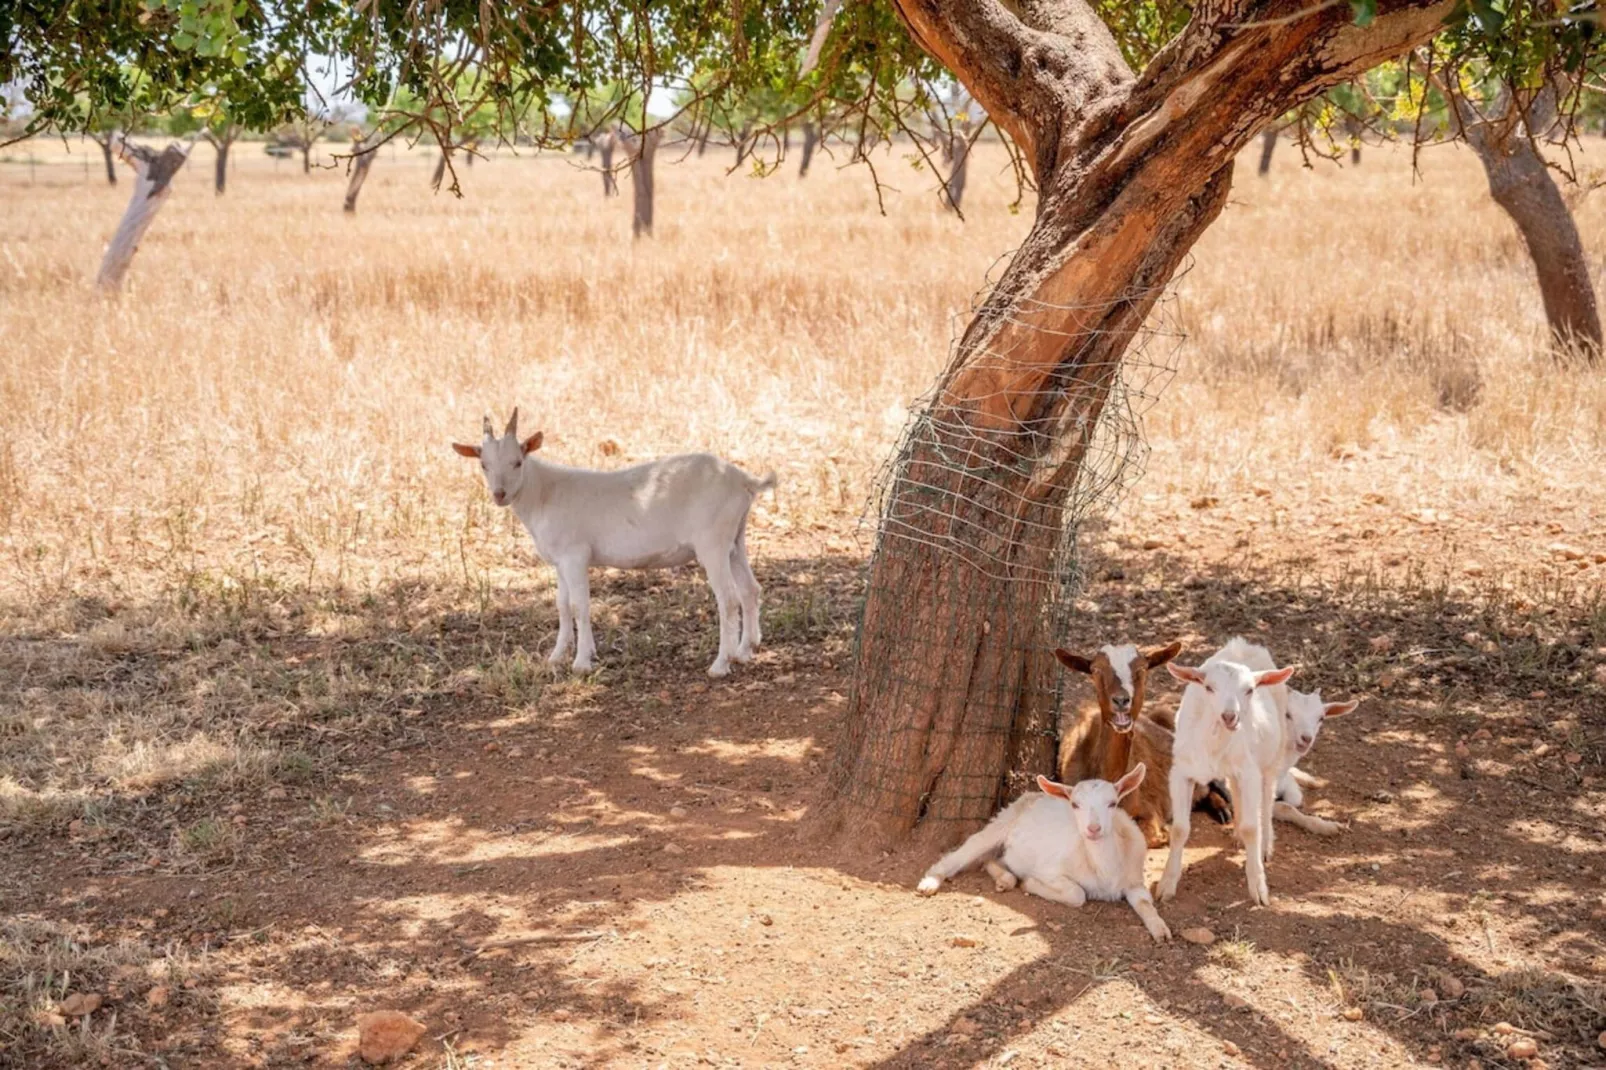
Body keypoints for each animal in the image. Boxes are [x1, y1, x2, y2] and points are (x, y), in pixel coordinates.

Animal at [452, 408, 777, 674]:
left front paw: (582, 662)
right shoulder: (559, 562)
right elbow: (562, 605)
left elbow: (580, 605)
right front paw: (556, 656)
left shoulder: (575, 555)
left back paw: (721, 664)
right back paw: (745, 651)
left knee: (728, 599)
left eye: (518, 462)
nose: (499, 494)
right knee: (750, 589)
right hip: (735, 540)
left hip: (712, 543)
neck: (544, 492)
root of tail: (742, 479)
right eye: (483, 464)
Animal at [918, 758, 1169, 944]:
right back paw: (930, 882)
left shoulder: (1135, 880)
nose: (1093, 829)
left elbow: (1145, 903)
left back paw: (1005, 879)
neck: (1104, 870)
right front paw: (1029, 884)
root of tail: (1034, 795)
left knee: (990, 860)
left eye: (1113, 803)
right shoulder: (1049, 870)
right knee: (966, 851)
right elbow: (1077, 894)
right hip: (1001, 823)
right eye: (1075, 805)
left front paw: (1161, 930)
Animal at [1156, 636, 1291, 906]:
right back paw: (1238, 833)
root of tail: (1244, 644)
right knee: (1236, 792)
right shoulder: (1181, 772)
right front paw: (1167, 884)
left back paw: (1265, 845)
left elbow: (1252, 827)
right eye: (1209, 688)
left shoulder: (1250, 772)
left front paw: (1258, 886)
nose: (1230, 716)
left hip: (1272, 756)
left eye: (1249, 690)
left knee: (1267, 799)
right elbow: (1179, 829)